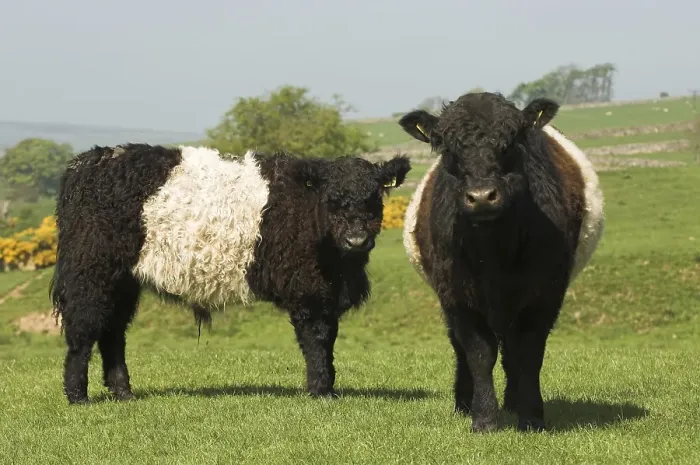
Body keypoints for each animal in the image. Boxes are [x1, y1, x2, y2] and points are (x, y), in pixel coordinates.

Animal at [49, 143, 411, 404]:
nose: (356, 239)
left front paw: (330, 388)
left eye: (374, 198)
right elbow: (317, 339)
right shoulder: (308, 290)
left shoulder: (328, 293)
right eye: (332, 200)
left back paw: (123, 392)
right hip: (91, 272)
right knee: (84, 331)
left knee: (113, 332)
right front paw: (321, 391)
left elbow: (330, 338)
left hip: (123, 281)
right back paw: (78, 396)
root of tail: (92, 158)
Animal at [398, 92, 604, 432]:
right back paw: (464, 403)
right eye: (447, 147)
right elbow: (478, 353)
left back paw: (512, 402)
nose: (482, 197)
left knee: (511, 352)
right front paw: (483, 418)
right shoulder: (457, 296)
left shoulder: (544, 293)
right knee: (463, 349)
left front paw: (531, 416)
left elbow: (528, 353)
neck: (493, 252)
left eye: (512, 142)